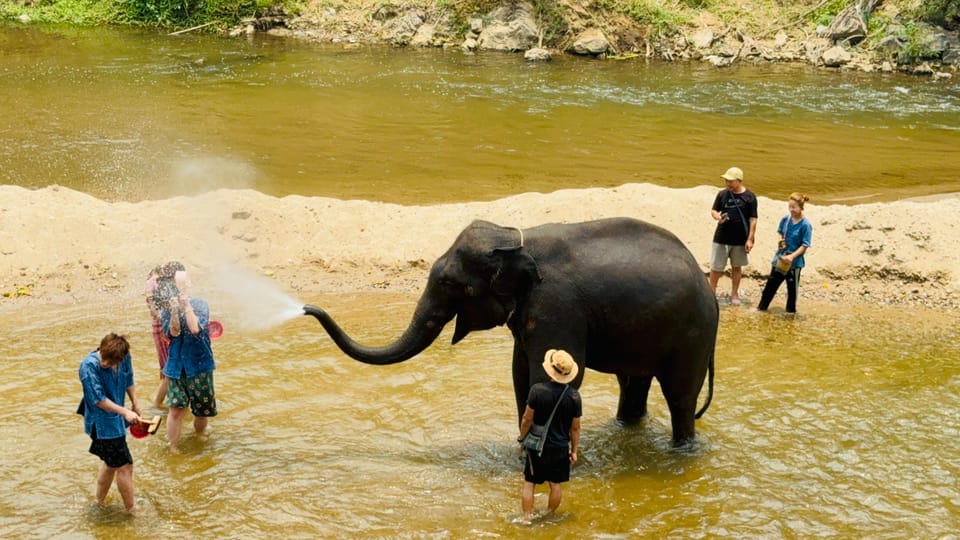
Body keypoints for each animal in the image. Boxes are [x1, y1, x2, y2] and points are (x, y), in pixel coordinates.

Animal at [304, 216, 716, 448]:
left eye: (454, 285)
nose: (307, 308)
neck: (516, 239)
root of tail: (708, 288)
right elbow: (520, 376)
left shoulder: (555, 304)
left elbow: (552, 377)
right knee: (633, 385)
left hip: (693, 334)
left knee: (680, 396)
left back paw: (681, 452)